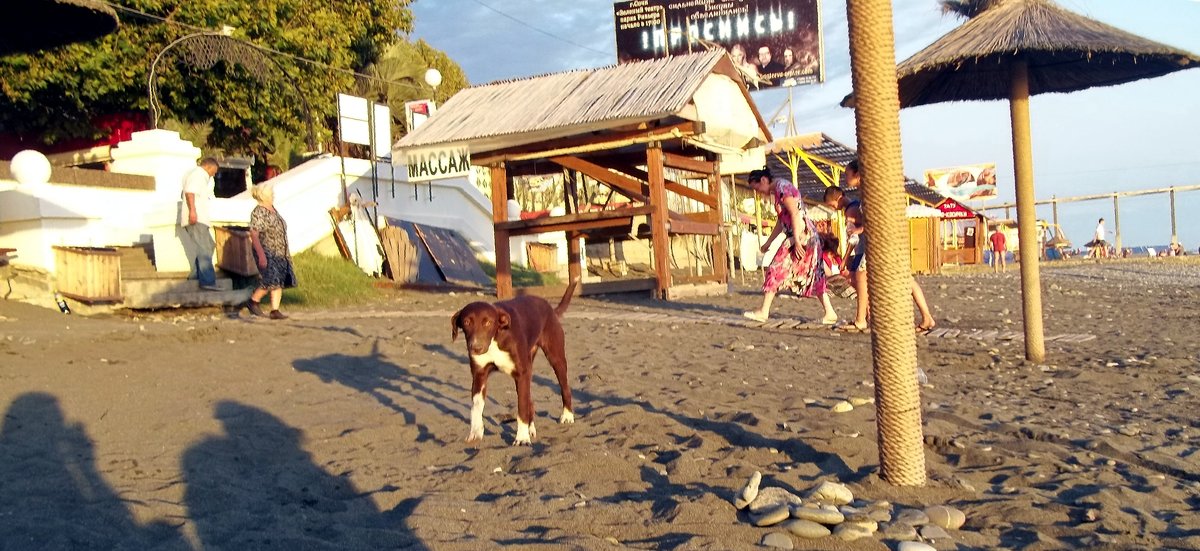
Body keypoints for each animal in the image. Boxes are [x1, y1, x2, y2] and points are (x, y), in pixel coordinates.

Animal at [451, 280, 578, 444]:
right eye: (466, 322)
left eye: (488, 322)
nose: (476, 348)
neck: (496, 338)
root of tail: (550, 308)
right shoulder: (479, 375)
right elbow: (476, 407)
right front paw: (475, 432)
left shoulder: (521, 374)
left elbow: (521, 407)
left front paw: (522, 438)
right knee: (530, 400)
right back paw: (531, 428)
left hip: (556, 358)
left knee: (564, 388)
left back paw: (567, 415)